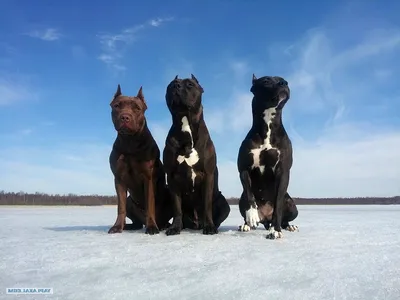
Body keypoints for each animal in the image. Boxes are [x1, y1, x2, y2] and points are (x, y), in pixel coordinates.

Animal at [108, 84, 172, 234]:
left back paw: (161, 226)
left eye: (137, 108)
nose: (125, 117)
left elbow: (150, 204)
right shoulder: (119, 179)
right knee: (135, 220)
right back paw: (128, 226)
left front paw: (151, 227)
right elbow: (120, 207)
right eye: (117, 106)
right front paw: (117, 227)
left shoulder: (148, 177)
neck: (130, 141)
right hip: (130, 201)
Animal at [162, 74, 231, 236]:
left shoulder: (208, 174)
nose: (176, 86)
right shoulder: (171, 177)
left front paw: (209, 227)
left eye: (190, 84)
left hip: (224, 203)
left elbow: (207, 205)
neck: (185, 123)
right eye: (170, 85)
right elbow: (177, 207)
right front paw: (174, 227)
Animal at [238, 74, 296, 239]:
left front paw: (275, 230)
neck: (268, 125)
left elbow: (278, 205)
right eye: (266, 81)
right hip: (240, 200)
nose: (284, 83)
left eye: (283, 79)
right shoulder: (244, 168)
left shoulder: (283, 171)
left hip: (292, 205)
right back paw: (246, 224)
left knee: (284, 217)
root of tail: (266, 218)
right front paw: (252, 214)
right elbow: (249, 193)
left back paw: (287, 226)